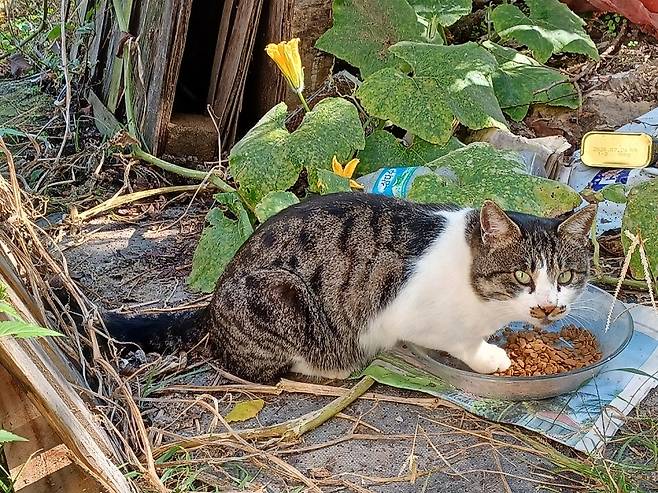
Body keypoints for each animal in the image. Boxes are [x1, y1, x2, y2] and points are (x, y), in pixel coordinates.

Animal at [104, 191, 596, 380]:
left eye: (566, 277)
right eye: (522, 276)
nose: (549, 307)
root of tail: (210, 305)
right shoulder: (412, 319)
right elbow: (462, 342)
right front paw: (491, 356)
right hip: (282, 295)